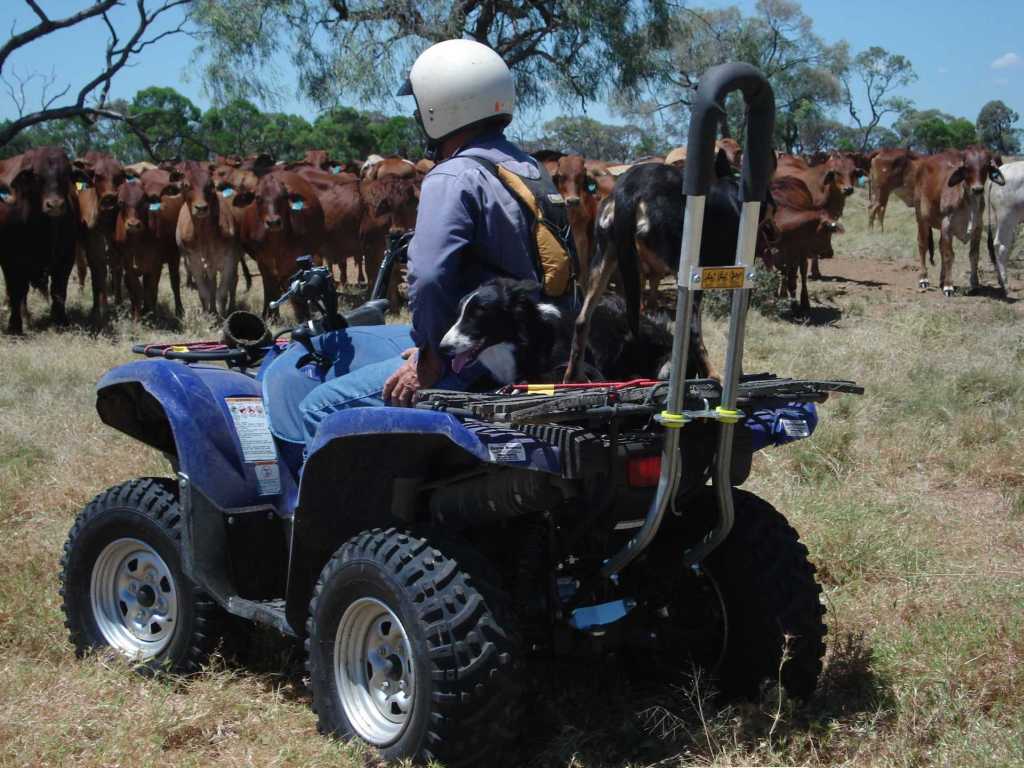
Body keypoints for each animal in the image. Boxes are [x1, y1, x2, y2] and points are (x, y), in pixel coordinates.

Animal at [113, 171, 184, 319]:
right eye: (121, 202)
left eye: (143, 202)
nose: (133, 225)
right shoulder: (128, 264)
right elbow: (136, 289)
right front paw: (137, 316)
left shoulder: (155, 264)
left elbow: (152, 289)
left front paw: (151, 313)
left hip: (174, 256)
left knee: (174, 282)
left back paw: (179, 311)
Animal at [177, 160, 244, 317]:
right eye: (186, 185)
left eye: (210, 185)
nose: (201, 208)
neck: (205, 234)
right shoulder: (194, 261)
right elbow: (204, 292)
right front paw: (207, 313)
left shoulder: (229, 260)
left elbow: (223, 293)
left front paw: (224, 315)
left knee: (233, 282)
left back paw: (230, 308)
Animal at [909, 146, 1003, 294]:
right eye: (967, 167)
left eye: (986, 166)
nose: (977, 189)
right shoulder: (947, 225)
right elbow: (949, 255)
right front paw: (948, 286)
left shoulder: (977, 228)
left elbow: (973, 255)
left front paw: (974, 284)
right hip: (922, 219)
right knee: (922, 244)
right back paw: (924, 278)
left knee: (940, 247)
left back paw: (941, 280)